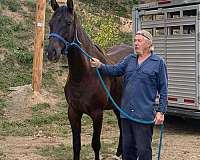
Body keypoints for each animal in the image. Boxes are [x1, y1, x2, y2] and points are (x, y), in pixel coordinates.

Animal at [46, 0, 134, 159]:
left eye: (68, 23)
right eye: (50, 23)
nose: (51, 53)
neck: (83, 75)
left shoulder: (97, 114)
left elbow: (96, 144)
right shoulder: (73, 112)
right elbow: (76, 145)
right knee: (120, 122)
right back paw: (119, 151)